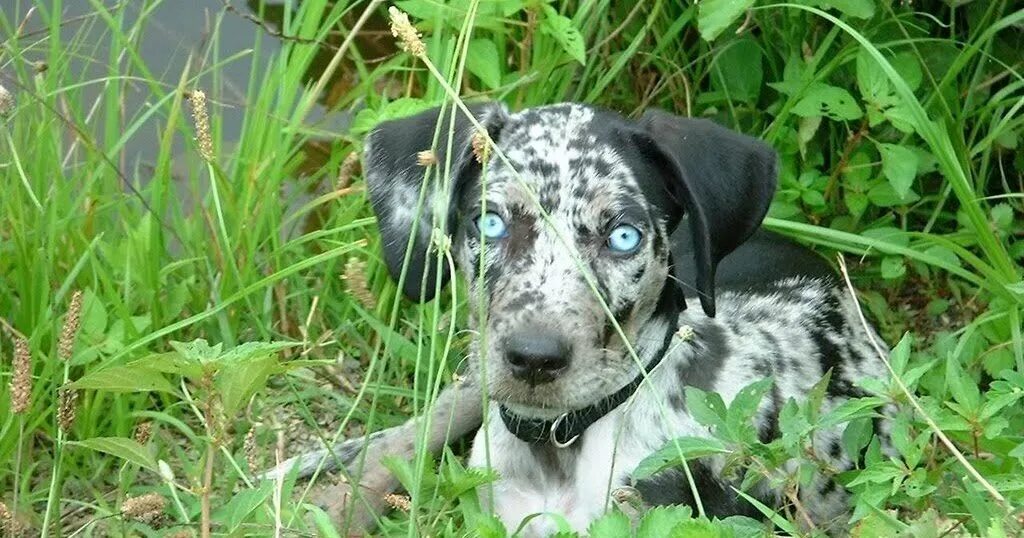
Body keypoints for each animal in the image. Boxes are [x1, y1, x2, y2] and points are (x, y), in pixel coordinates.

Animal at [268, 102, 892, 532]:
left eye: (624, 236)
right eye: (490, 222)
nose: (534, 359)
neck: (561, 444)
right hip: (473, 379)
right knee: (401, 442)